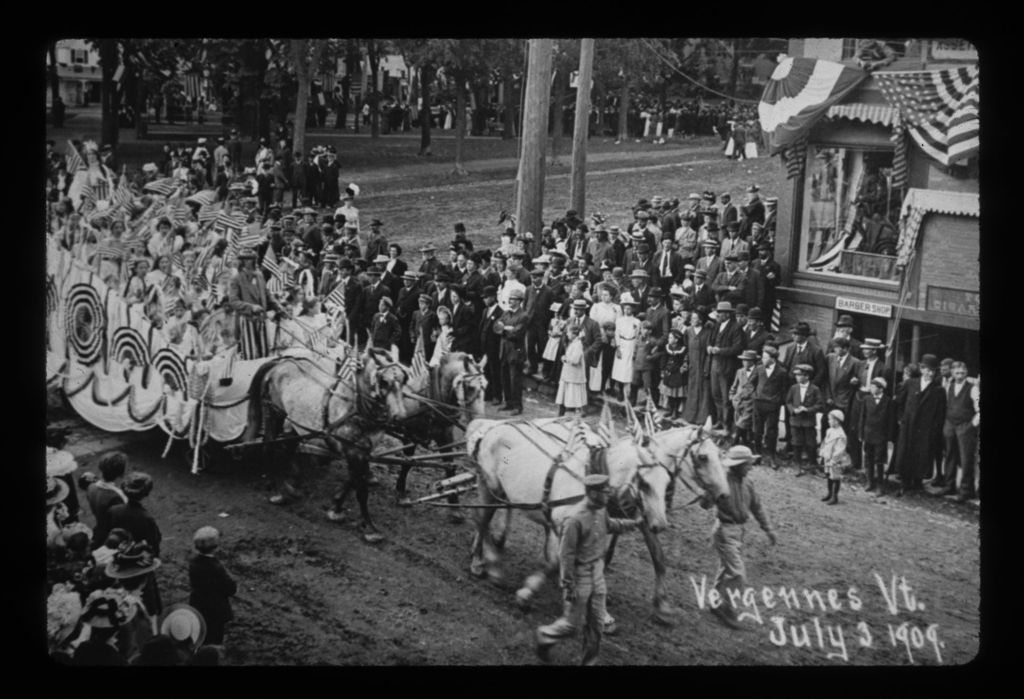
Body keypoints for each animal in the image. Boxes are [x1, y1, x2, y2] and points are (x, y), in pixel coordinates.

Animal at [468, 421, 733, 622]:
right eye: (703, 457)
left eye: (721, 456)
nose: (723, 495)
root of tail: (495, 427)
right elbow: (559, 560)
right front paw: (528, 593)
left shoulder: (631, 521)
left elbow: (657, 557)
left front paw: (662, 605)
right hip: (488, 486)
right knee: (481, 519)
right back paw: (483, 563)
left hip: (504, 491)